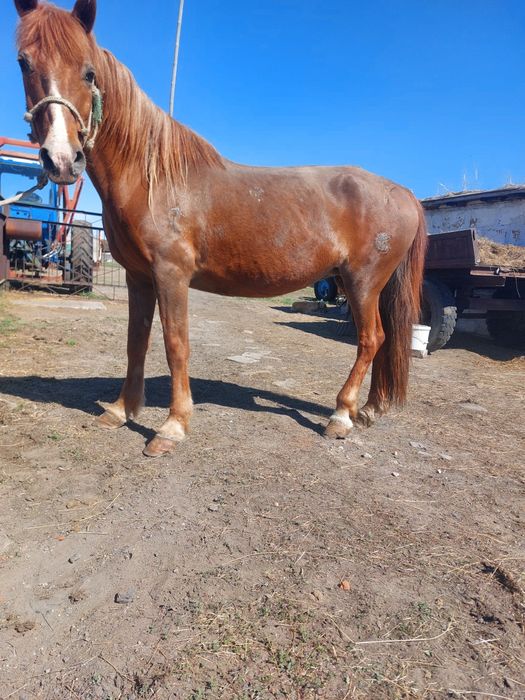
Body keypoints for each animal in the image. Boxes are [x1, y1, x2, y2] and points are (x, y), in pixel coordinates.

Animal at [13, 0, 427, 458]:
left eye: (89, 73)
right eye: (23, 63)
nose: (60, 160)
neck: (152, 178)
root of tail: (403, 192)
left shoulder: (171, 275)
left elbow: (176, 345)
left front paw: (172, 427)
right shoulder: (138, 277)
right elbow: (136, 341)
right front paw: (121, 410)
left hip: (362, 282)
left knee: (371, 339)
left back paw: (340, 416)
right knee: (384, 341)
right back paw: (368, 410)